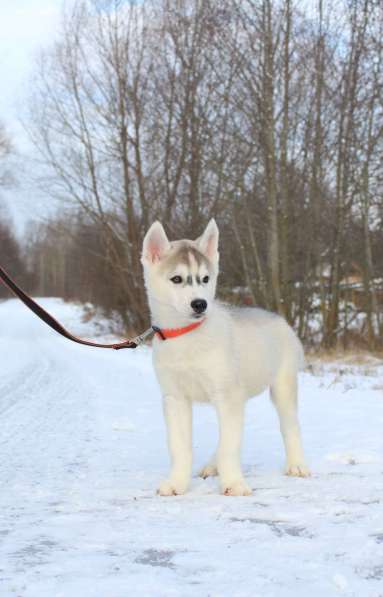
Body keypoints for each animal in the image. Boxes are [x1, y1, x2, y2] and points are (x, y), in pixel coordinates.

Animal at [142, 219, 310, 494]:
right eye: (176, 279)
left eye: (205, 279)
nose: (200, 304)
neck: (186, 335)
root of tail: (278, 318)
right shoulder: (175, 399)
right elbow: (180, 447)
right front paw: (176, 483)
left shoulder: (227, 395)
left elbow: (230, 447)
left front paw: (234, 484)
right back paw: (213, 465)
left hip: (281, 387)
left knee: (290, 426)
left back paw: (297, 465)